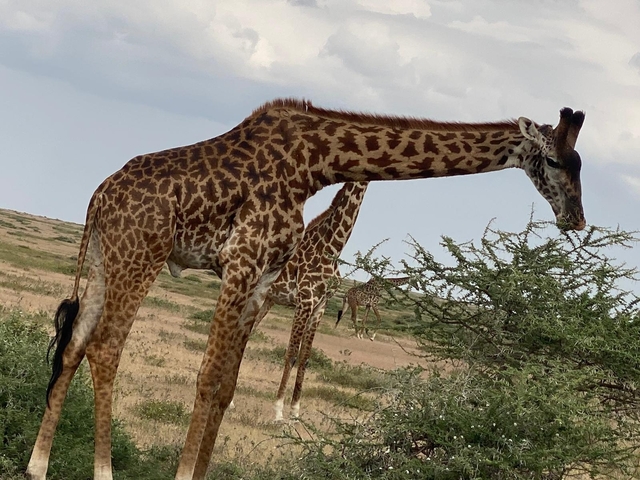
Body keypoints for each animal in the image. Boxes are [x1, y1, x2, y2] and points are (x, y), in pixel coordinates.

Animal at [247, 181, 368, 421]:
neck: (332, 247)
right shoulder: (305, 300)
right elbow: (292, 354)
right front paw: (278, 411)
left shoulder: (320, 305)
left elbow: (305, 357)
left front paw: (295, 411)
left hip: (267, 300)